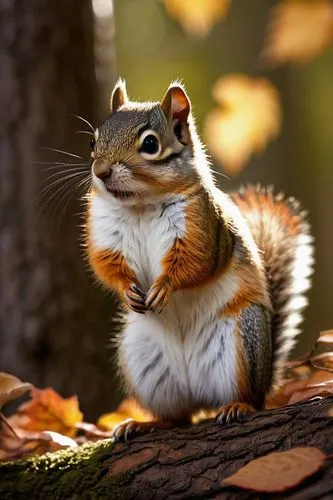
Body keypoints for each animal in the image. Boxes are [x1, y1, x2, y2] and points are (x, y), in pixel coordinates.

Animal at [84, 79, 312, 442]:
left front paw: (164, 287)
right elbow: (105, 264)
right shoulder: (105, 233)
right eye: (93, 141)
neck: (140, 205)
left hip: (242, 342)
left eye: (150, 144)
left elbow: (196, 264)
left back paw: (237, 406)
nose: (101, 172)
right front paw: (127, 290)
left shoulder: (202, 229)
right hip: (143, 361)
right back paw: (144, 423)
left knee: (247, 399)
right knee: (178, 417)